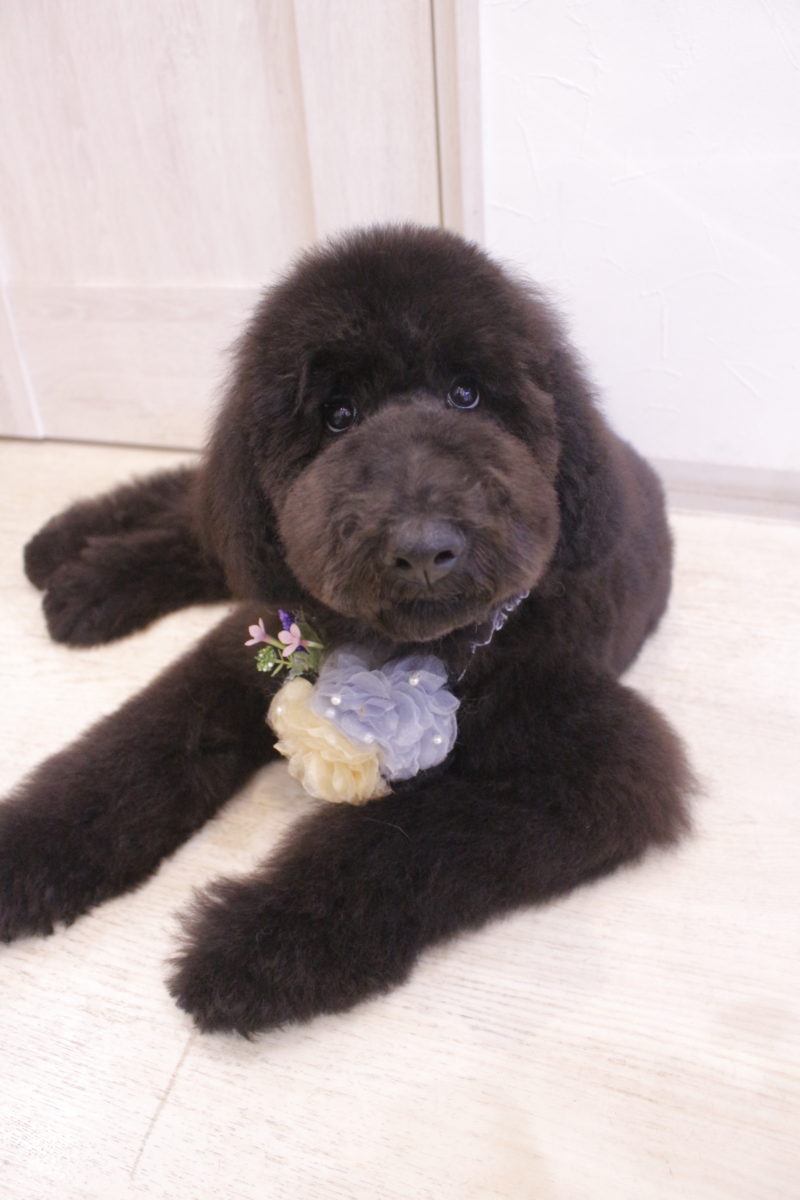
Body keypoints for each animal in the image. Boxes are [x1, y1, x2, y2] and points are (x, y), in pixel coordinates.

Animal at [0, 225, 691, 1034]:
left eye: (467, 394)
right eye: (337, 416)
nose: (424, 546)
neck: (423, 649)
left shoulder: (605, 768)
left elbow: (405, 839)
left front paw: (259, 941)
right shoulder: (245, 654)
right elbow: (126, 755)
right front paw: (25, 851)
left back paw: (77, 577)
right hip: (247, 541)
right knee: (196, 507)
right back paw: (72, 560)